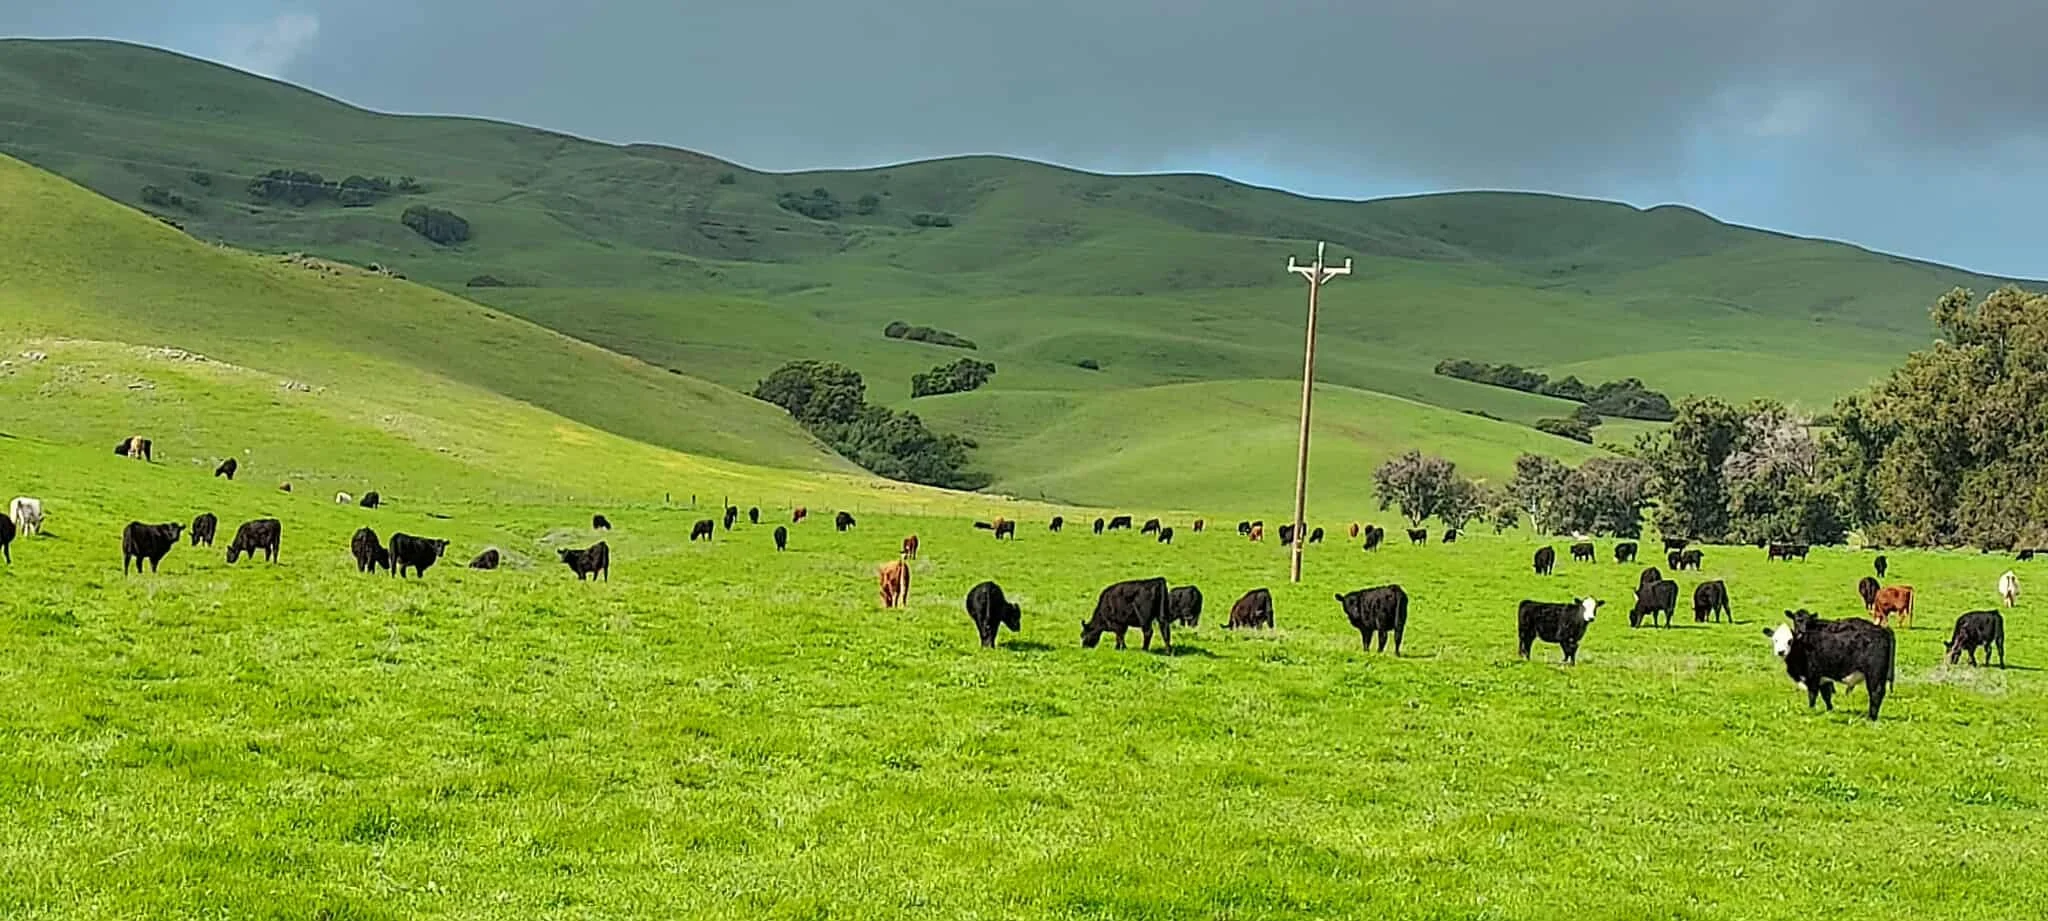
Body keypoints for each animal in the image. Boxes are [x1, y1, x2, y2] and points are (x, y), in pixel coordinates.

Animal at [1766, 610, 1895, 721]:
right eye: (1775, 640)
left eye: (1790, 641)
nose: (1781, 651)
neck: (1803, 647)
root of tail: (1882, 630)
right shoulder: (1823, 677)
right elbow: (1826, 695)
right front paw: (1830, 710)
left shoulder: (1812, 676)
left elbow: (1812, 695)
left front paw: (1811, 711)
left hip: (1875, 674)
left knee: (1876, 693)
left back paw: (1871, 717)